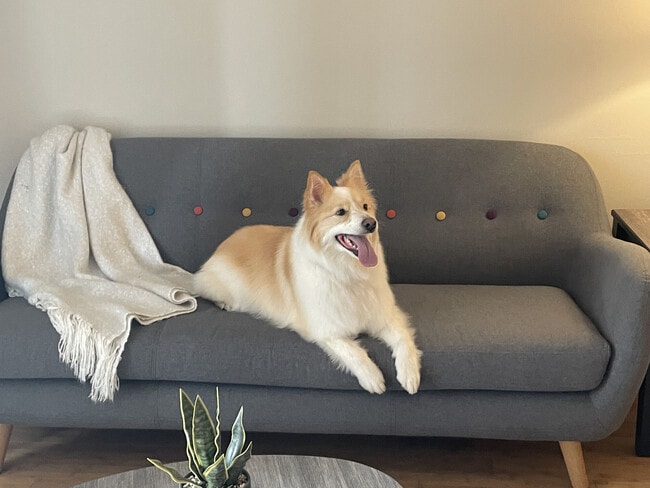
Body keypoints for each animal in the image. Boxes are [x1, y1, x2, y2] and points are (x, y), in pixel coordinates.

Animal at [194, 160, 421, 394]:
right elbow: (354, 352)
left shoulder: (385, 316)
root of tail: (227, 241)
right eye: (341, 212)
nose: (371, 223)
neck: (346, 271)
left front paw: (409, 374)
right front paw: (372, 376)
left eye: (366, 207)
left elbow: (403, 339)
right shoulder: (325, 329)